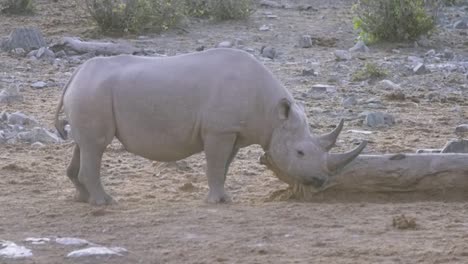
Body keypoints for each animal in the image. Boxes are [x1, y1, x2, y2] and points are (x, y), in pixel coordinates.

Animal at [54, 48, 368, 206]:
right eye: (301, 153)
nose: (321, 181)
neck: (273, 115)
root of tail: (74, 75)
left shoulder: (233, 132)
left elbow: (224, 166)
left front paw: (224, 198)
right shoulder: (219, 130)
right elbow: (215, 165)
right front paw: (217, 202)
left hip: (90, 91)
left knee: (84, 144)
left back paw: (82, 199)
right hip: (93, 92)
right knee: (96, 145)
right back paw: (104, 203)